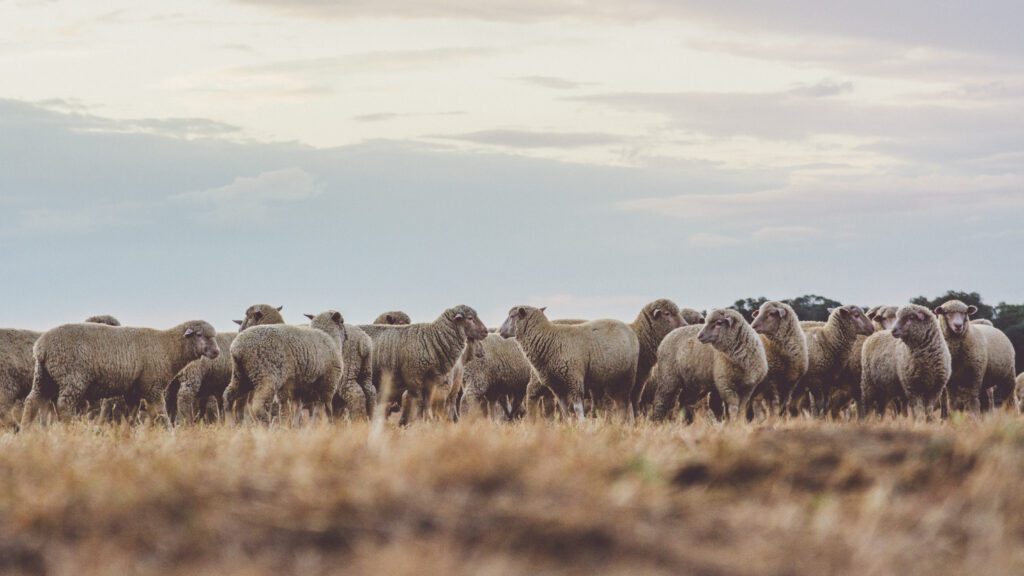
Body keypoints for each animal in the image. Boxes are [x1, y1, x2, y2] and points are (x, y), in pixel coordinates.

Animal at [20, 317, 220, 426]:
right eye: (200, 335)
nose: (217, 352)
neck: (168, 347)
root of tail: (41, 347)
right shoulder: (153, 387)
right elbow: (160, 412)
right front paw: (169, 433)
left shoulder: (133, 391)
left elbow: (131, 415)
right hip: (72, 377)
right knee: (64, 405)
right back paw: (69, 428)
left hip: (43, 377)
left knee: (32, 402)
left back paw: (26, 431)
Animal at [497, 303, 638, 420]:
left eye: (512, 316)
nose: (499, 332)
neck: (549, 339)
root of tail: (629, 329)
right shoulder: (557, 386)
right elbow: (565, 410)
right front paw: (568, 425)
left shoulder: (574, 380)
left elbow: (577, 409)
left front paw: (582, 426)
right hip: (604, 380)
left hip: (627, 377)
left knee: (624, 405)